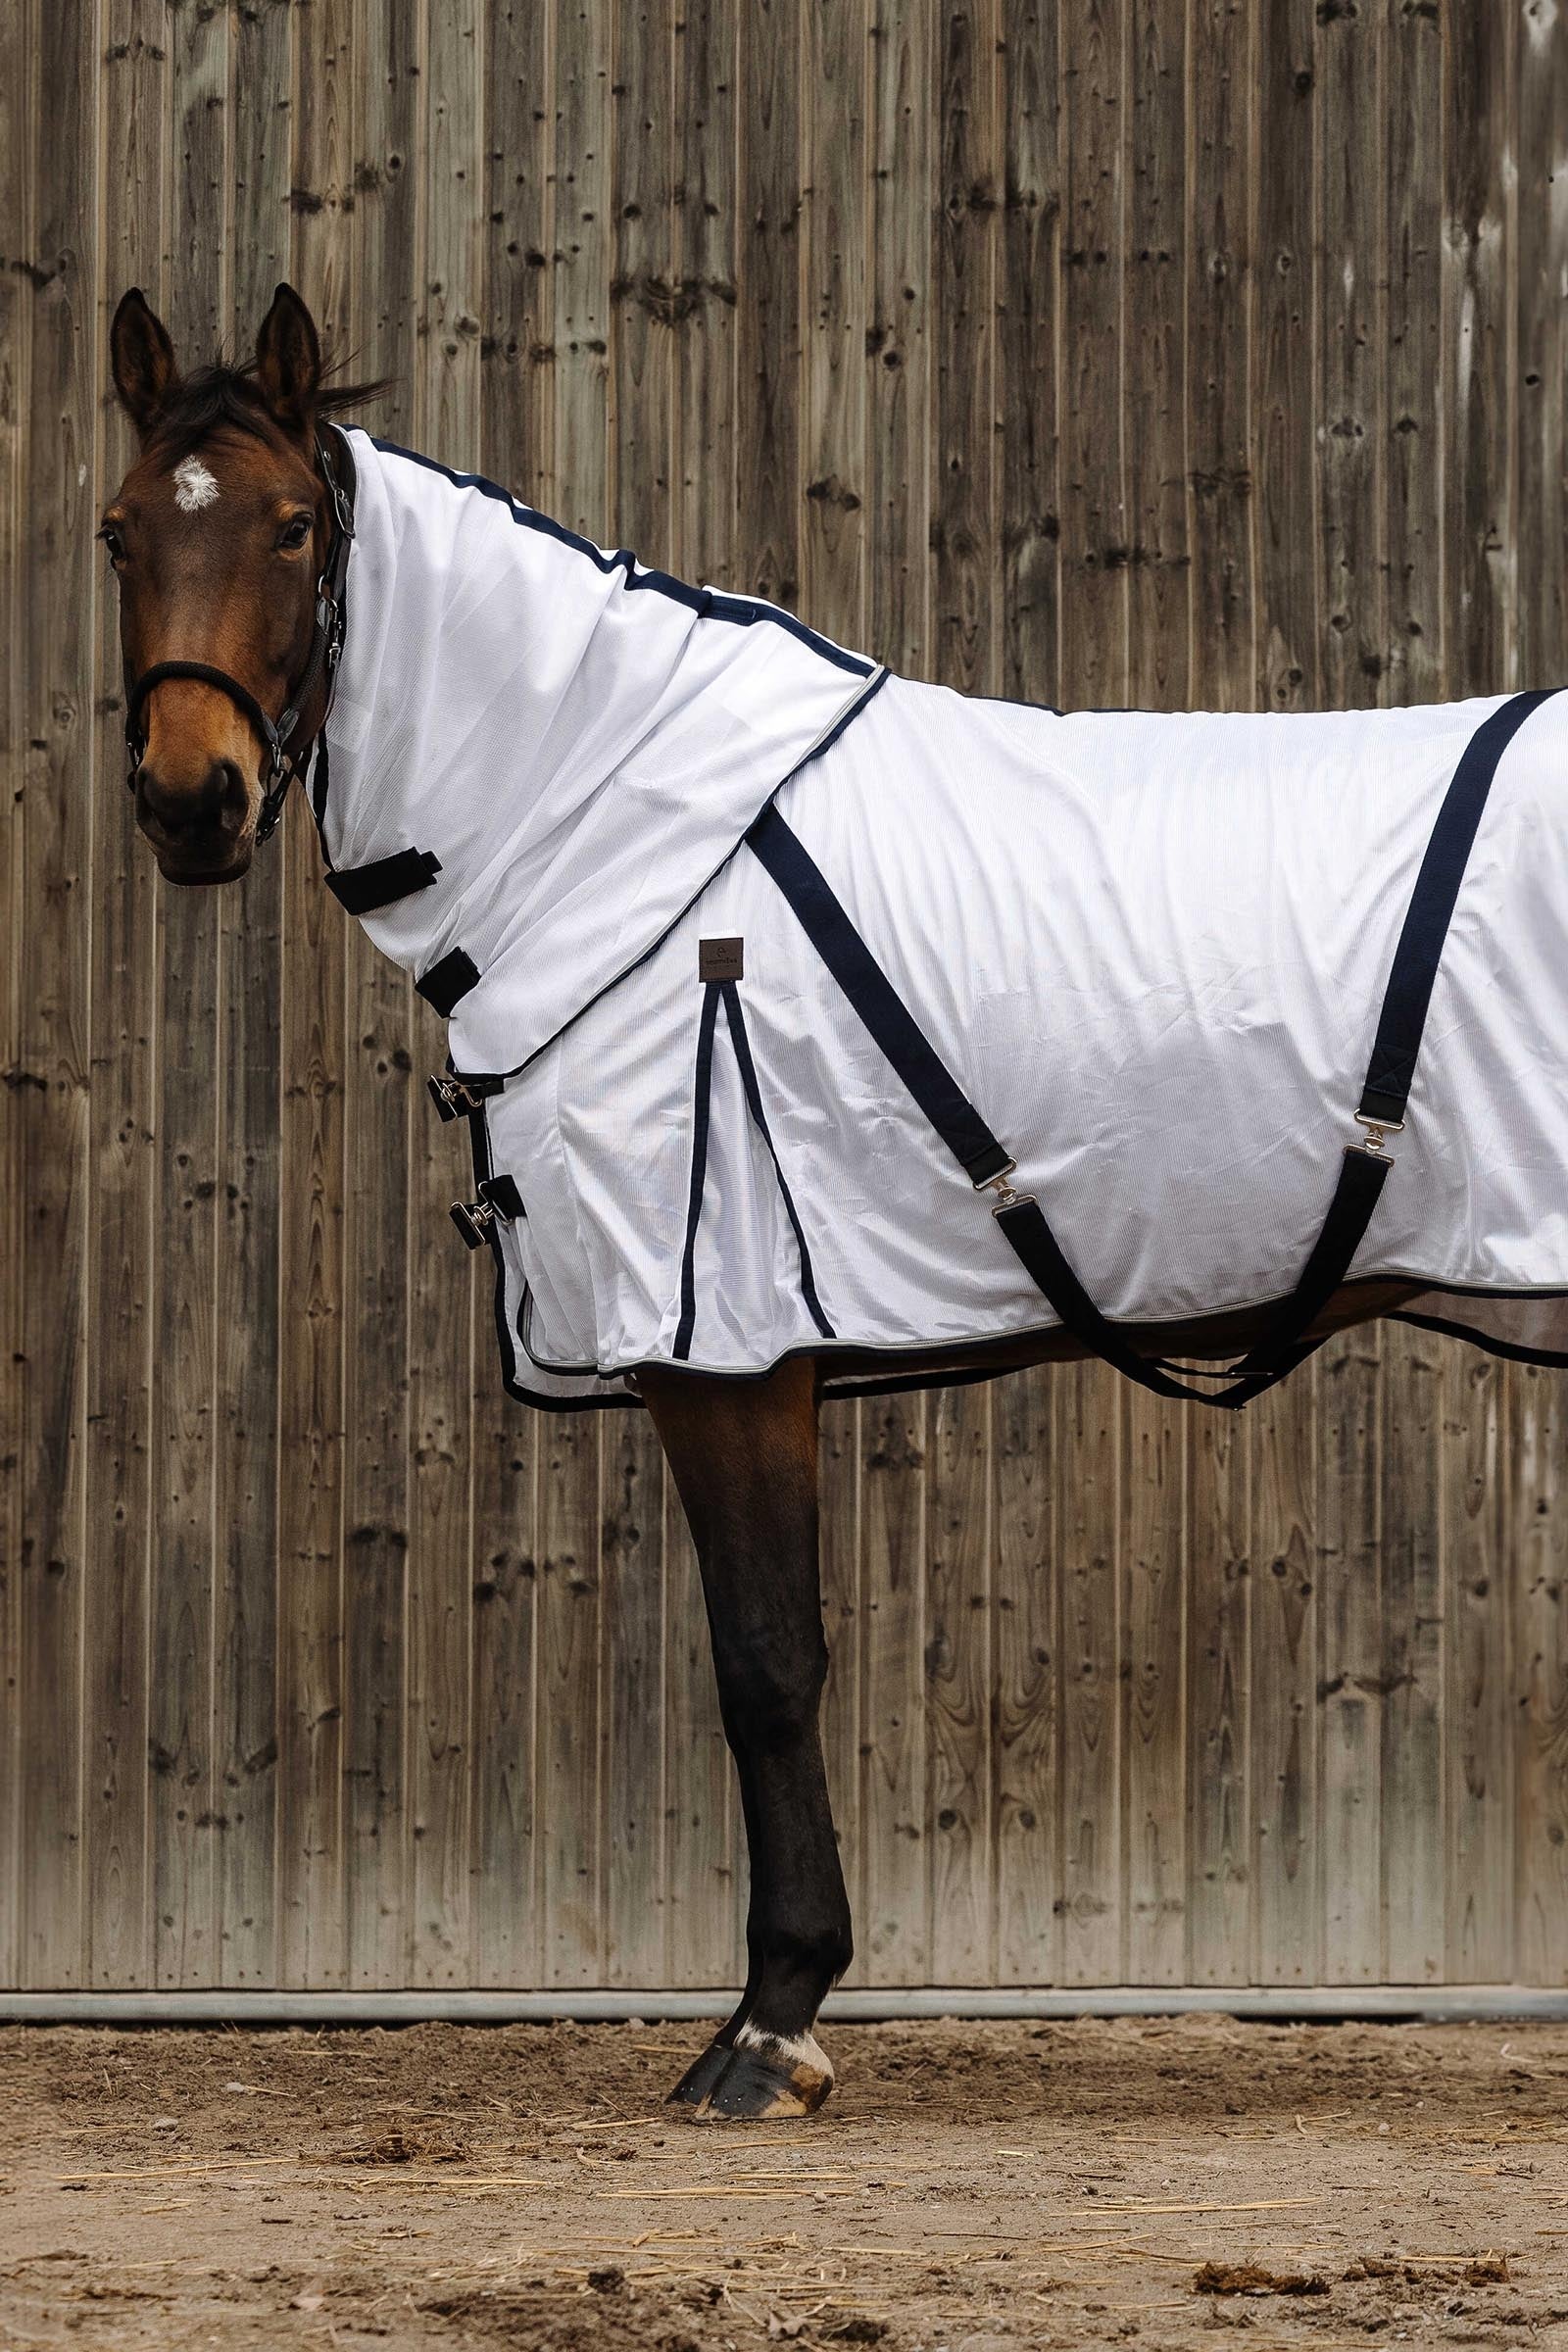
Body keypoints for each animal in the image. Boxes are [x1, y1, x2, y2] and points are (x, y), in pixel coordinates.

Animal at [104, 280, 1568, 2120]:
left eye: (294, 527)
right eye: (119, 530)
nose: (190, 802)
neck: (637, 845)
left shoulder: (724, 1343)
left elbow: (766, 1660)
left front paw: (770, 2023)